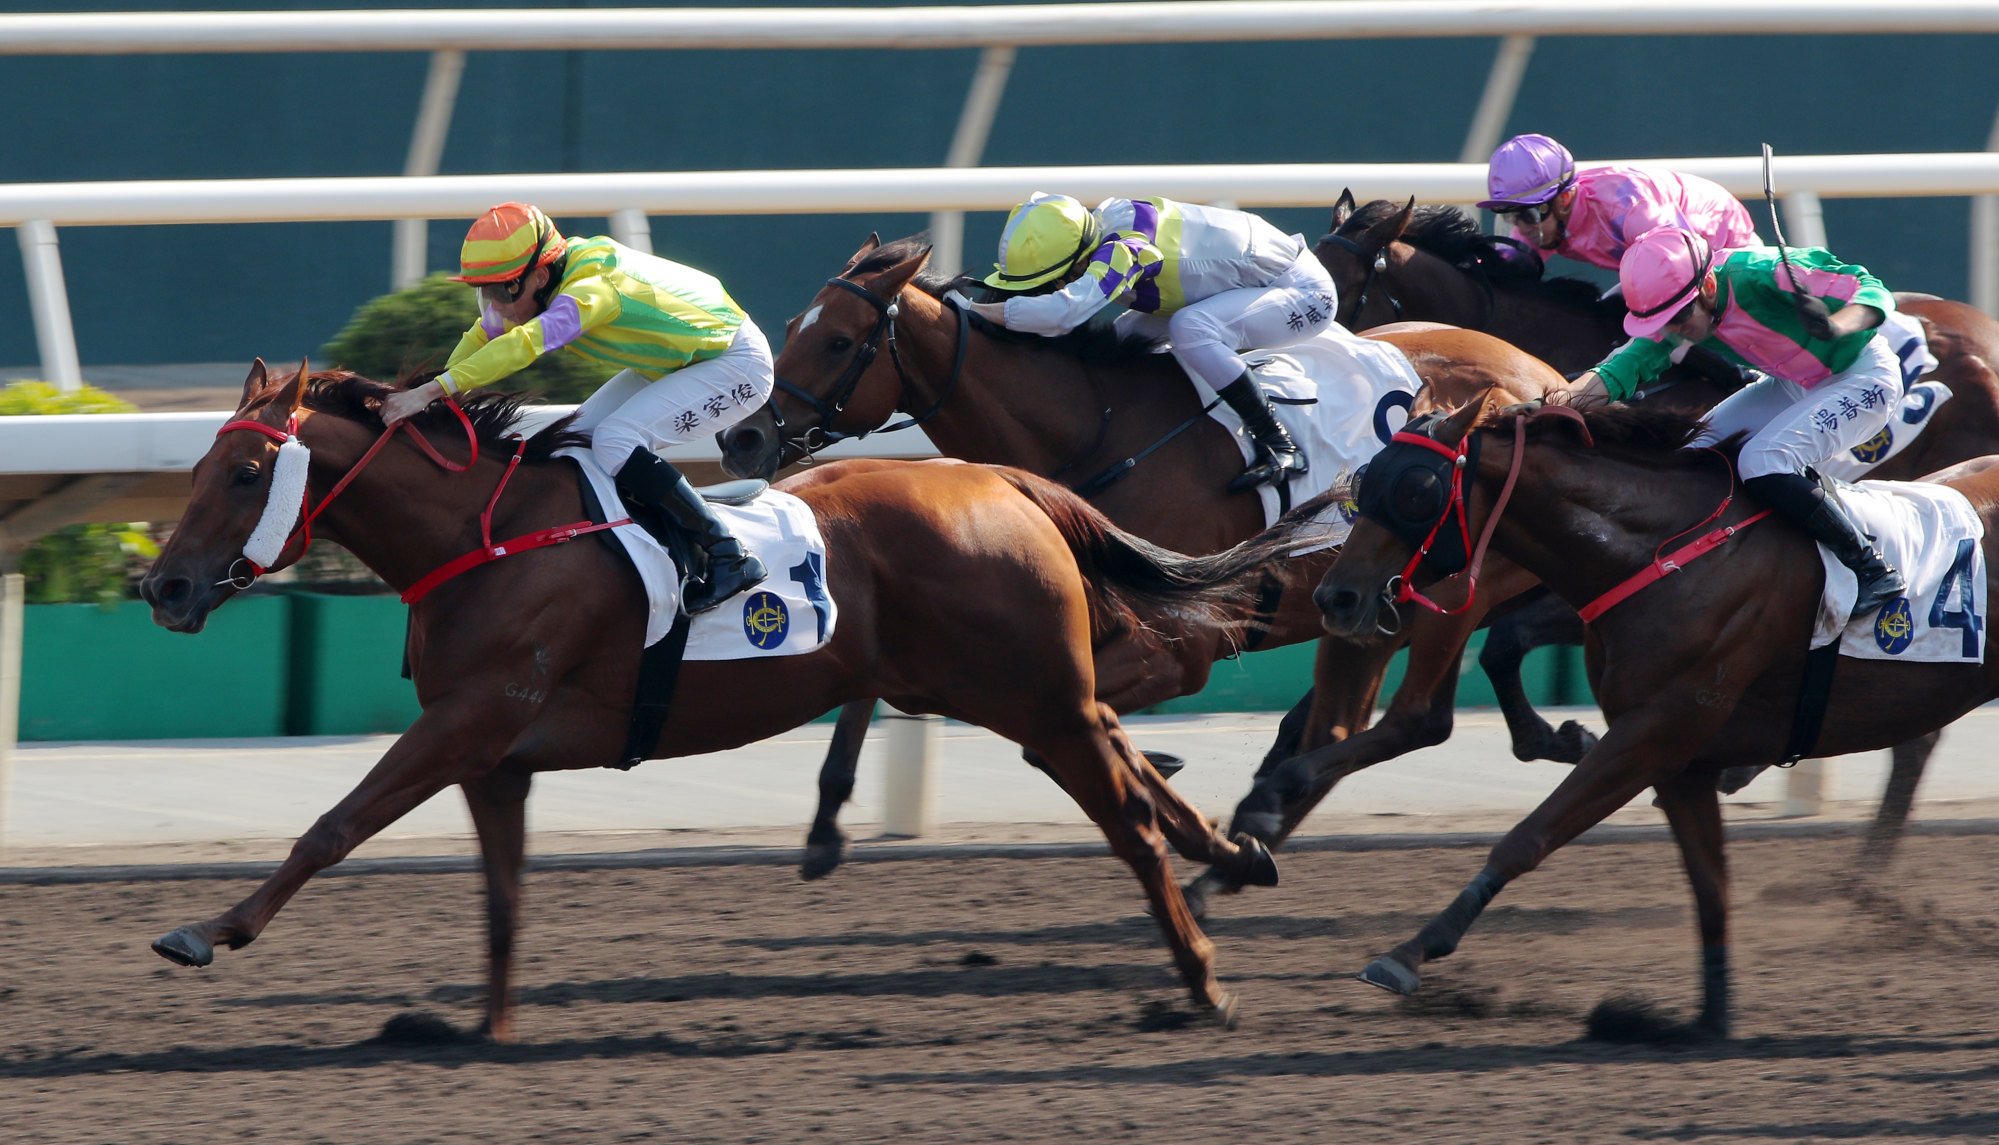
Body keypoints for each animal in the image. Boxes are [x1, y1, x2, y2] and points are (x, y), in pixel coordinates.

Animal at [140, 359, 1327, 1039]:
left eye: (246, 474)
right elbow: (502, 898)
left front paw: (208, 929)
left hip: (1029, 693)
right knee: (1125, 754)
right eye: (198, 466)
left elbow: (333, 824)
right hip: (1005, 688)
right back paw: (1235, 851)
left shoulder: (466, 720)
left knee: (1124, 813)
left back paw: (1203, 977)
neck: (486, 538)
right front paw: (488, 1029)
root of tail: (1000, 480)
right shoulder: (497, 756)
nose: (164, 586)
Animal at [715, 234, 1559, 883]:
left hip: (1443, 589)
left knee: (1413, 716)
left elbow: (1053, 734)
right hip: (1362, 613)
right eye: (791, 323)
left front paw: (1158, 767)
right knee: (1340, 725)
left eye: (836, 340)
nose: (741, 436)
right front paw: (826, 823)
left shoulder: (1178, 649)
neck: (1098, 434)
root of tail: (1546, 375)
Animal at [1311, 395, 1999, 1039]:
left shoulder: (1654, 731)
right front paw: (1708, 1020)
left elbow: (1528, 836)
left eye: (1415, 490)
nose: (1334, 597)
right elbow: (1710, 886)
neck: (1664, 555)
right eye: (1367, 481)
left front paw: (1409, 953)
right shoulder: (1681, 761)